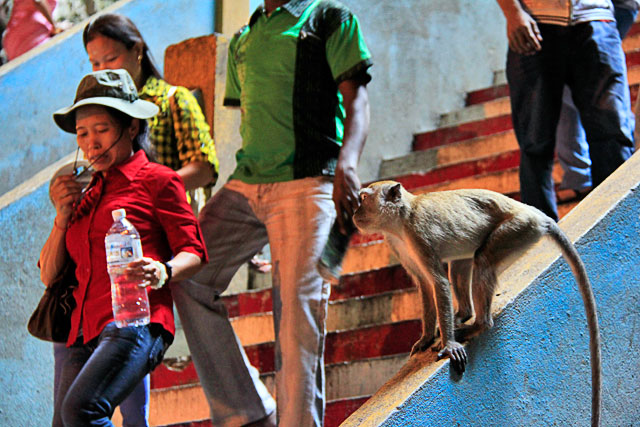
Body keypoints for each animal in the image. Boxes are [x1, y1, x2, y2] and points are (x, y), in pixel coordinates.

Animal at [352, 180, 601, 426]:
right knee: (461, 262)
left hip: (519, 228)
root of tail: (535, 213)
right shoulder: (397, 245)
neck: (401, 220)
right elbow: (424, 284)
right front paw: (425, 338)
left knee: (482, 259)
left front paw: (448, 344)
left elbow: (438, 282)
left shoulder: (419, 236)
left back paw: (479, 324)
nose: (355, 212)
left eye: (363, 199)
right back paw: (462, 314)